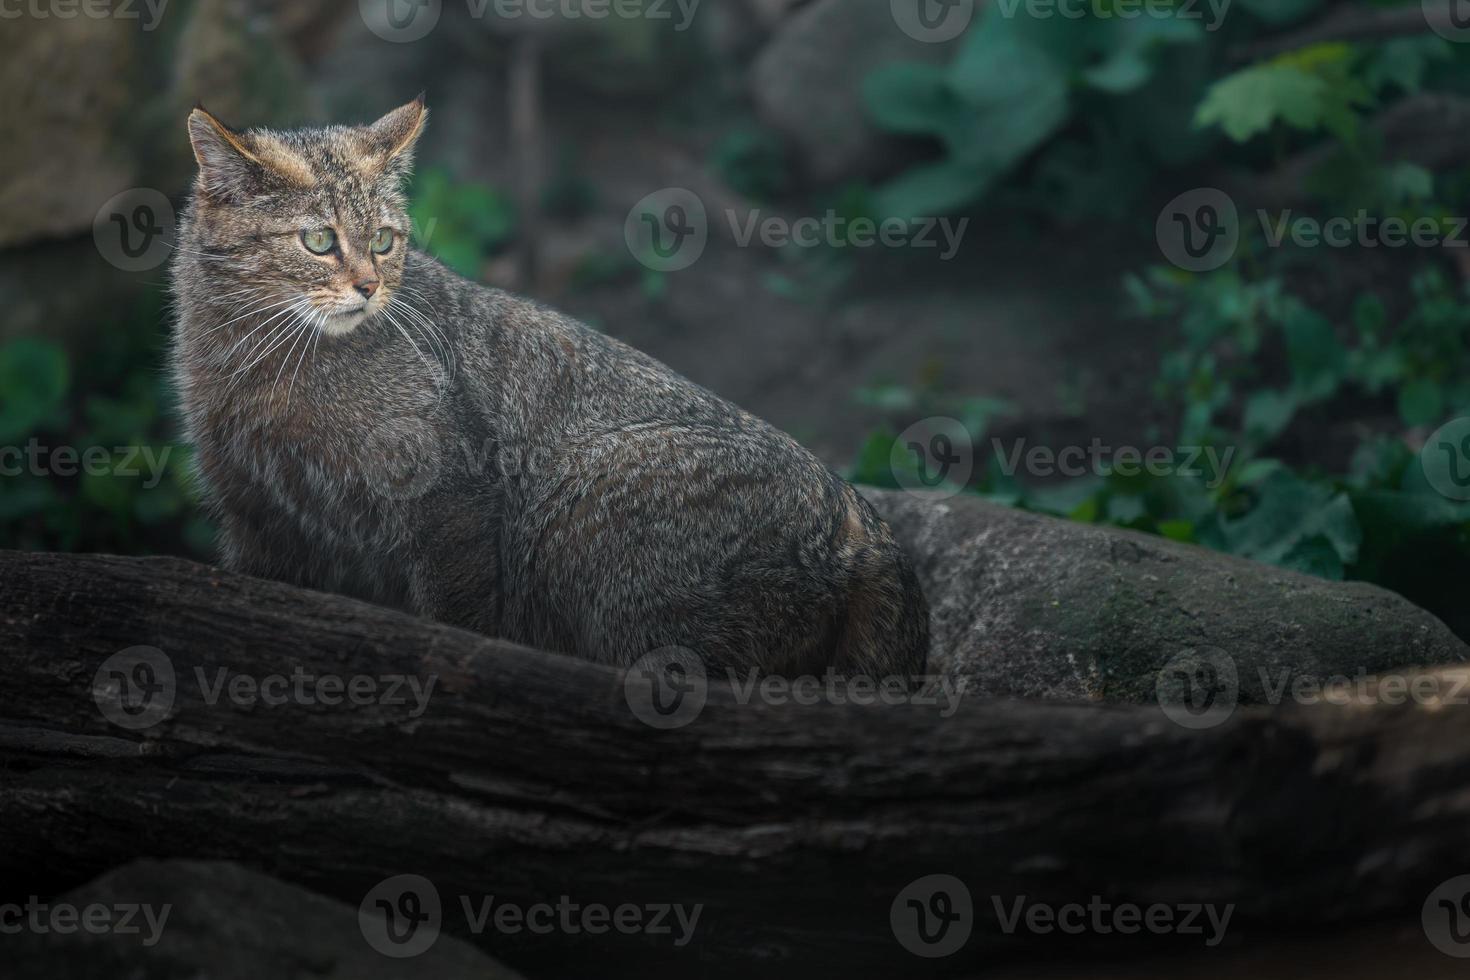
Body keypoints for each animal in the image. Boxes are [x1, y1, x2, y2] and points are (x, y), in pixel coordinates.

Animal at [169, 97, 929, 681]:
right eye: (320, 240)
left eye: (383, 240)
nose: (369, 286)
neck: (265, 366)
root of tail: (859, 518)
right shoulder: (253, 517)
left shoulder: (452, 499)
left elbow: (456, 617)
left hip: (591, 516)